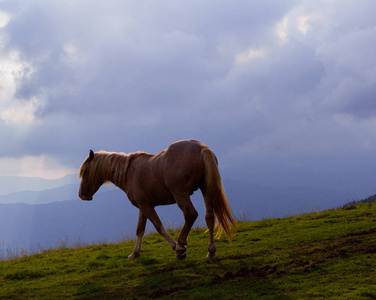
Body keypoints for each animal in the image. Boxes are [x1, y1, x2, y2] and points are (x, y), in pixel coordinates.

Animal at [78, 139, 236, 258]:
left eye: (85, 171)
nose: (81, 195)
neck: (129, 173)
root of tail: (201, 148)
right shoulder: (143, 207)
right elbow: (140, 229)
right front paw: (135, 253)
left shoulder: (146, 206)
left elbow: (159, 226)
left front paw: (177, 248)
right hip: (206, 189)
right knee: (209, 217)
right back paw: (211, 252)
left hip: (180, 194)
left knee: (191, 214)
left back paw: (181, 243)